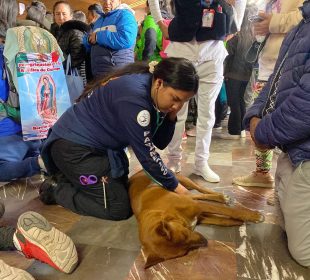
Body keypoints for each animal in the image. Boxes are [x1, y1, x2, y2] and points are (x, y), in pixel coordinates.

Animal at [128, 170, 264, 268]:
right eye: (185, 251)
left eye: (185, 234)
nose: (205, 242)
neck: (163, 213)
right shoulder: (200, 216)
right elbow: (222, 220)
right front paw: (238, 222)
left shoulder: (199, 206)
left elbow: (227, 211)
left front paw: (254, 216)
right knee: (198, 195)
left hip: (182, 181)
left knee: (201, 189)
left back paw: (221, 197)